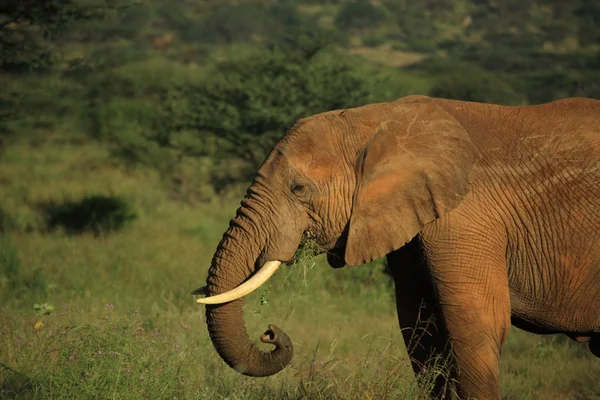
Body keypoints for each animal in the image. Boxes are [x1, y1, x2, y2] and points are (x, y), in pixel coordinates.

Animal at [193, 95, 600, 398]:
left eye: (299, 189)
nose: (270, 332)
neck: (377, 120)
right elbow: (421, 330)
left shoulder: (467, 216)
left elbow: (475, 326)